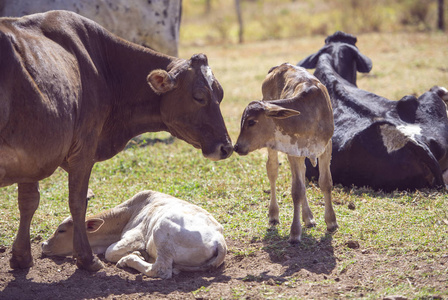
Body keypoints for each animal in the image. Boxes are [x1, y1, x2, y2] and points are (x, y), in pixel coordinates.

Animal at [43, 190, 228, 278]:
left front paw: (136, 253)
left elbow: (110, 252)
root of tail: (219, 240)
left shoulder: (135, 237)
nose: (43, 244)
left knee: (160, 270)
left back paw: (130, 259)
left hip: (162, 230)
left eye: (61, 230)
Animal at [234, 63, 336, 244]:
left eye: (252, 122)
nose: (237, 146)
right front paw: (295, 232)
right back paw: (274, 215)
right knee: (273, 170)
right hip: (274, 147)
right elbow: (297, 190)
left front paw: (331, 222)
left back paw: (308, 218)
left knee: (302, 174)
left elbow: (325, 182)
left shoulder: (326, 147)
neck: (308, 115)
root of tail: (280, 66)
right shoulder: (292, 152)